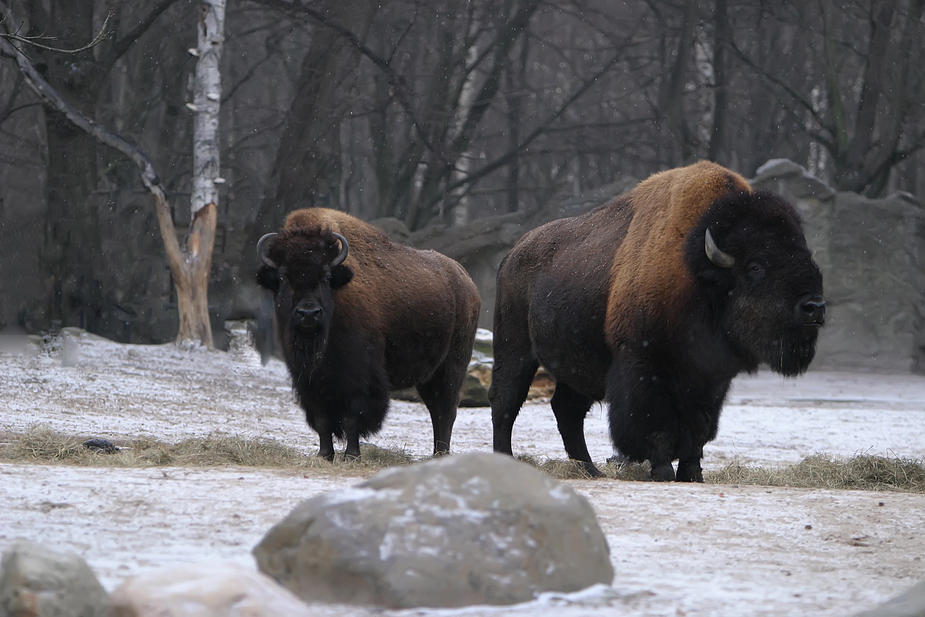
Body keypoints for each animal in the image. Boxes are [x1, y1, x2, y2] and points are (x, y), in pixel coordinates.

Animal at [256, 209, 480, 460]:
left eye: (326, 276)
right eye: (282, 277)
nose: (308, 313)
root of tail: (468, 283)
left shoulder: (358, 376)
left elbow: (352, 417)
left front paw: (352, 455)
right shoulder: (308, 380)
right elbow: (322, 419)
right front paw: (325, 455)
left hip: (452, 365)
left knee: (445, 408)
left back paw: (441, 453)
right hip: (430, 373)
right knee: (436, 407)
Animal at [488, 161, 828, 478]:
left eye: (805, 258)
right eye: (756, 266)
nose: (814, 307)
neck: (696, 270)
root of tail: (512, 255)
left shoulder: (711, 380)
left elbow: (699, 431)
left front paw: (692, 475)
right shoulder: (644, 367)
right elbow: (657, 427)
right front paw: (664, 472)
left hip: (575, 365)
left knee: (567, 410)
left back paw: (590, 470)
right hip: (514, 347)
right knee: (506, 401)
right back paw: (507, 459)